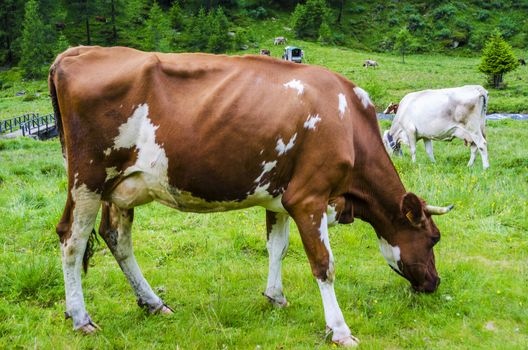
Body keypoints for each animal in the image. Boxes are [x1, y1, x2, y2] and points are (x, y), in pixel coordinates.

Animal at [49, 47, 452, 348]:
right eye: (433, 238)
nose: (434, 283)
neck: (348, 123)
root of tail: (77, 51)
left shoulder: (282, 198)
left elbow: (278, 247)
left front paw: (275, 296)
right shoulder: (309, 197)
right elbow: (324, 264)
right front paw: (339, 330)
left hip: (119, 188)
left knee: (117, 238)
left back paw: (152, 303)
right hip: (87, 178)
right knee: (72, 239)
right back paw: (82, 318)